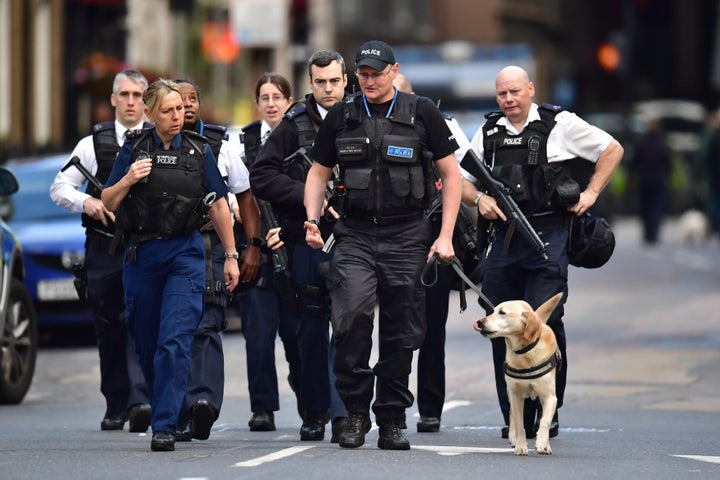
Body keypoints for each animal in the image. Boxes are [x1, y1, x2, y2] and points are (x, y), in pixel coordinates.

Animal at [476, 292, 564, 454]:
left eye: (502, 313)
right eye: (492, 311)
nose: (479, 322)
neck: (525, 351)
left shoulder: (550, 397)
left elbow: (545, 421)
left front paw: (542, 442)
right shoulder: (516, 395)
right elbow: (519, 423)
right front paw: (521, 446)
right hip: (510, 392)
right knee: (511, 414)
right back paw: (512, 436)